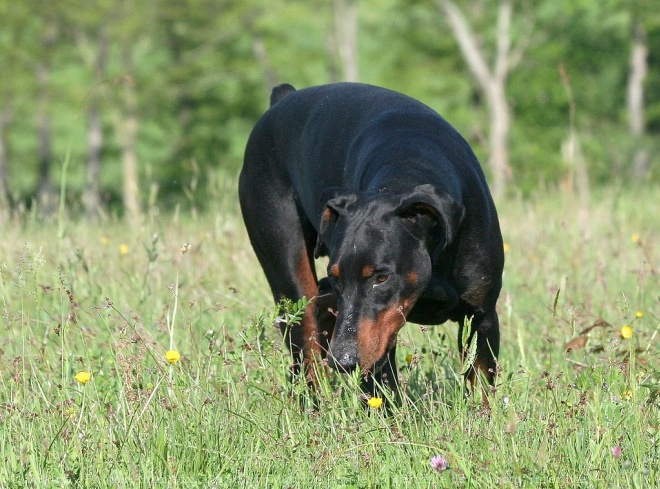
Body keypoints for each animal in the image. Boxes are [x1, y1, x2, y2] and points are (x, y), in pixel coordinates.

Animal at [240, 83, 502, 400]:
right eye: (338, 277)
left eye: (381, 277)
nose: (344, 360)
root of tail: (282, 98)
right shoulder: (377, 335)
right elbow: (383, 391)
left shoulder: (482, 315)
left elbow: (481, 382)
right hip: (290, 278)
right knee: (307, 346)